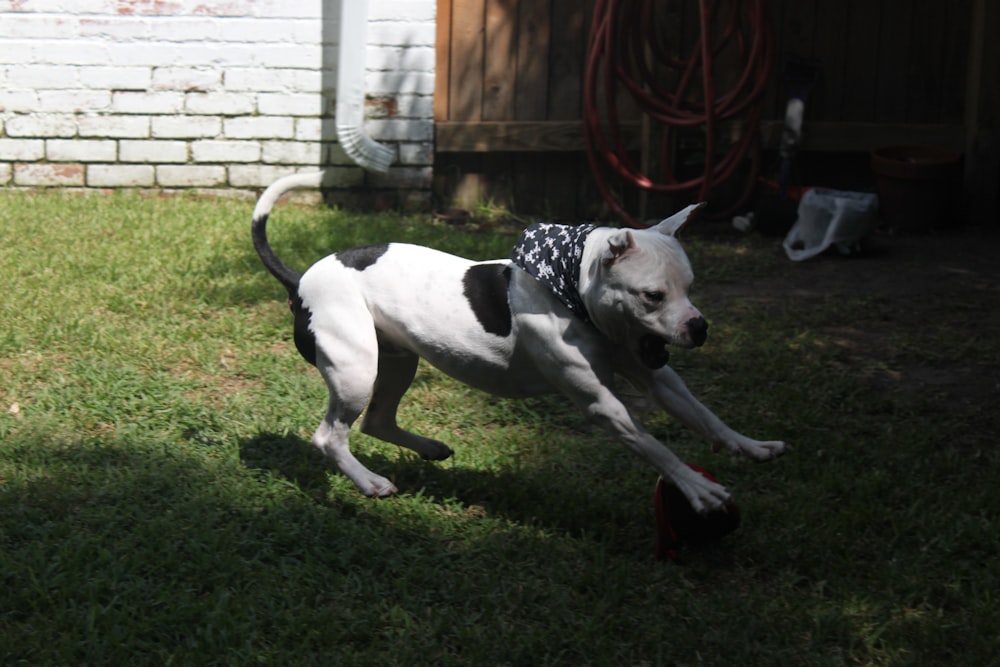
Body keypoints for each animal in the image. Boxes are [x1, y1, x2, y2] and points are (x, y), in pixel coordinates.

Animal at [250, 171, 780, 512]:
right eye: (653, 295)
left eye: (690, 286)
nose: (699, 326)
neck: (572, 289)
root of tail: (301, 279)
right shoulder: (602, 404)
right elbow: (655, 446)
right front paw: (696, 487)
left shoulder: (657, 376)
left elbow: (704, 415)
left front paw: (749, 446)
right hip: (356, 369)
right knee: (330, 435)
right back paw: (369, 482)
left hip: (396, 362)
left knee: (377, 420)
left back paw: (429, 450)